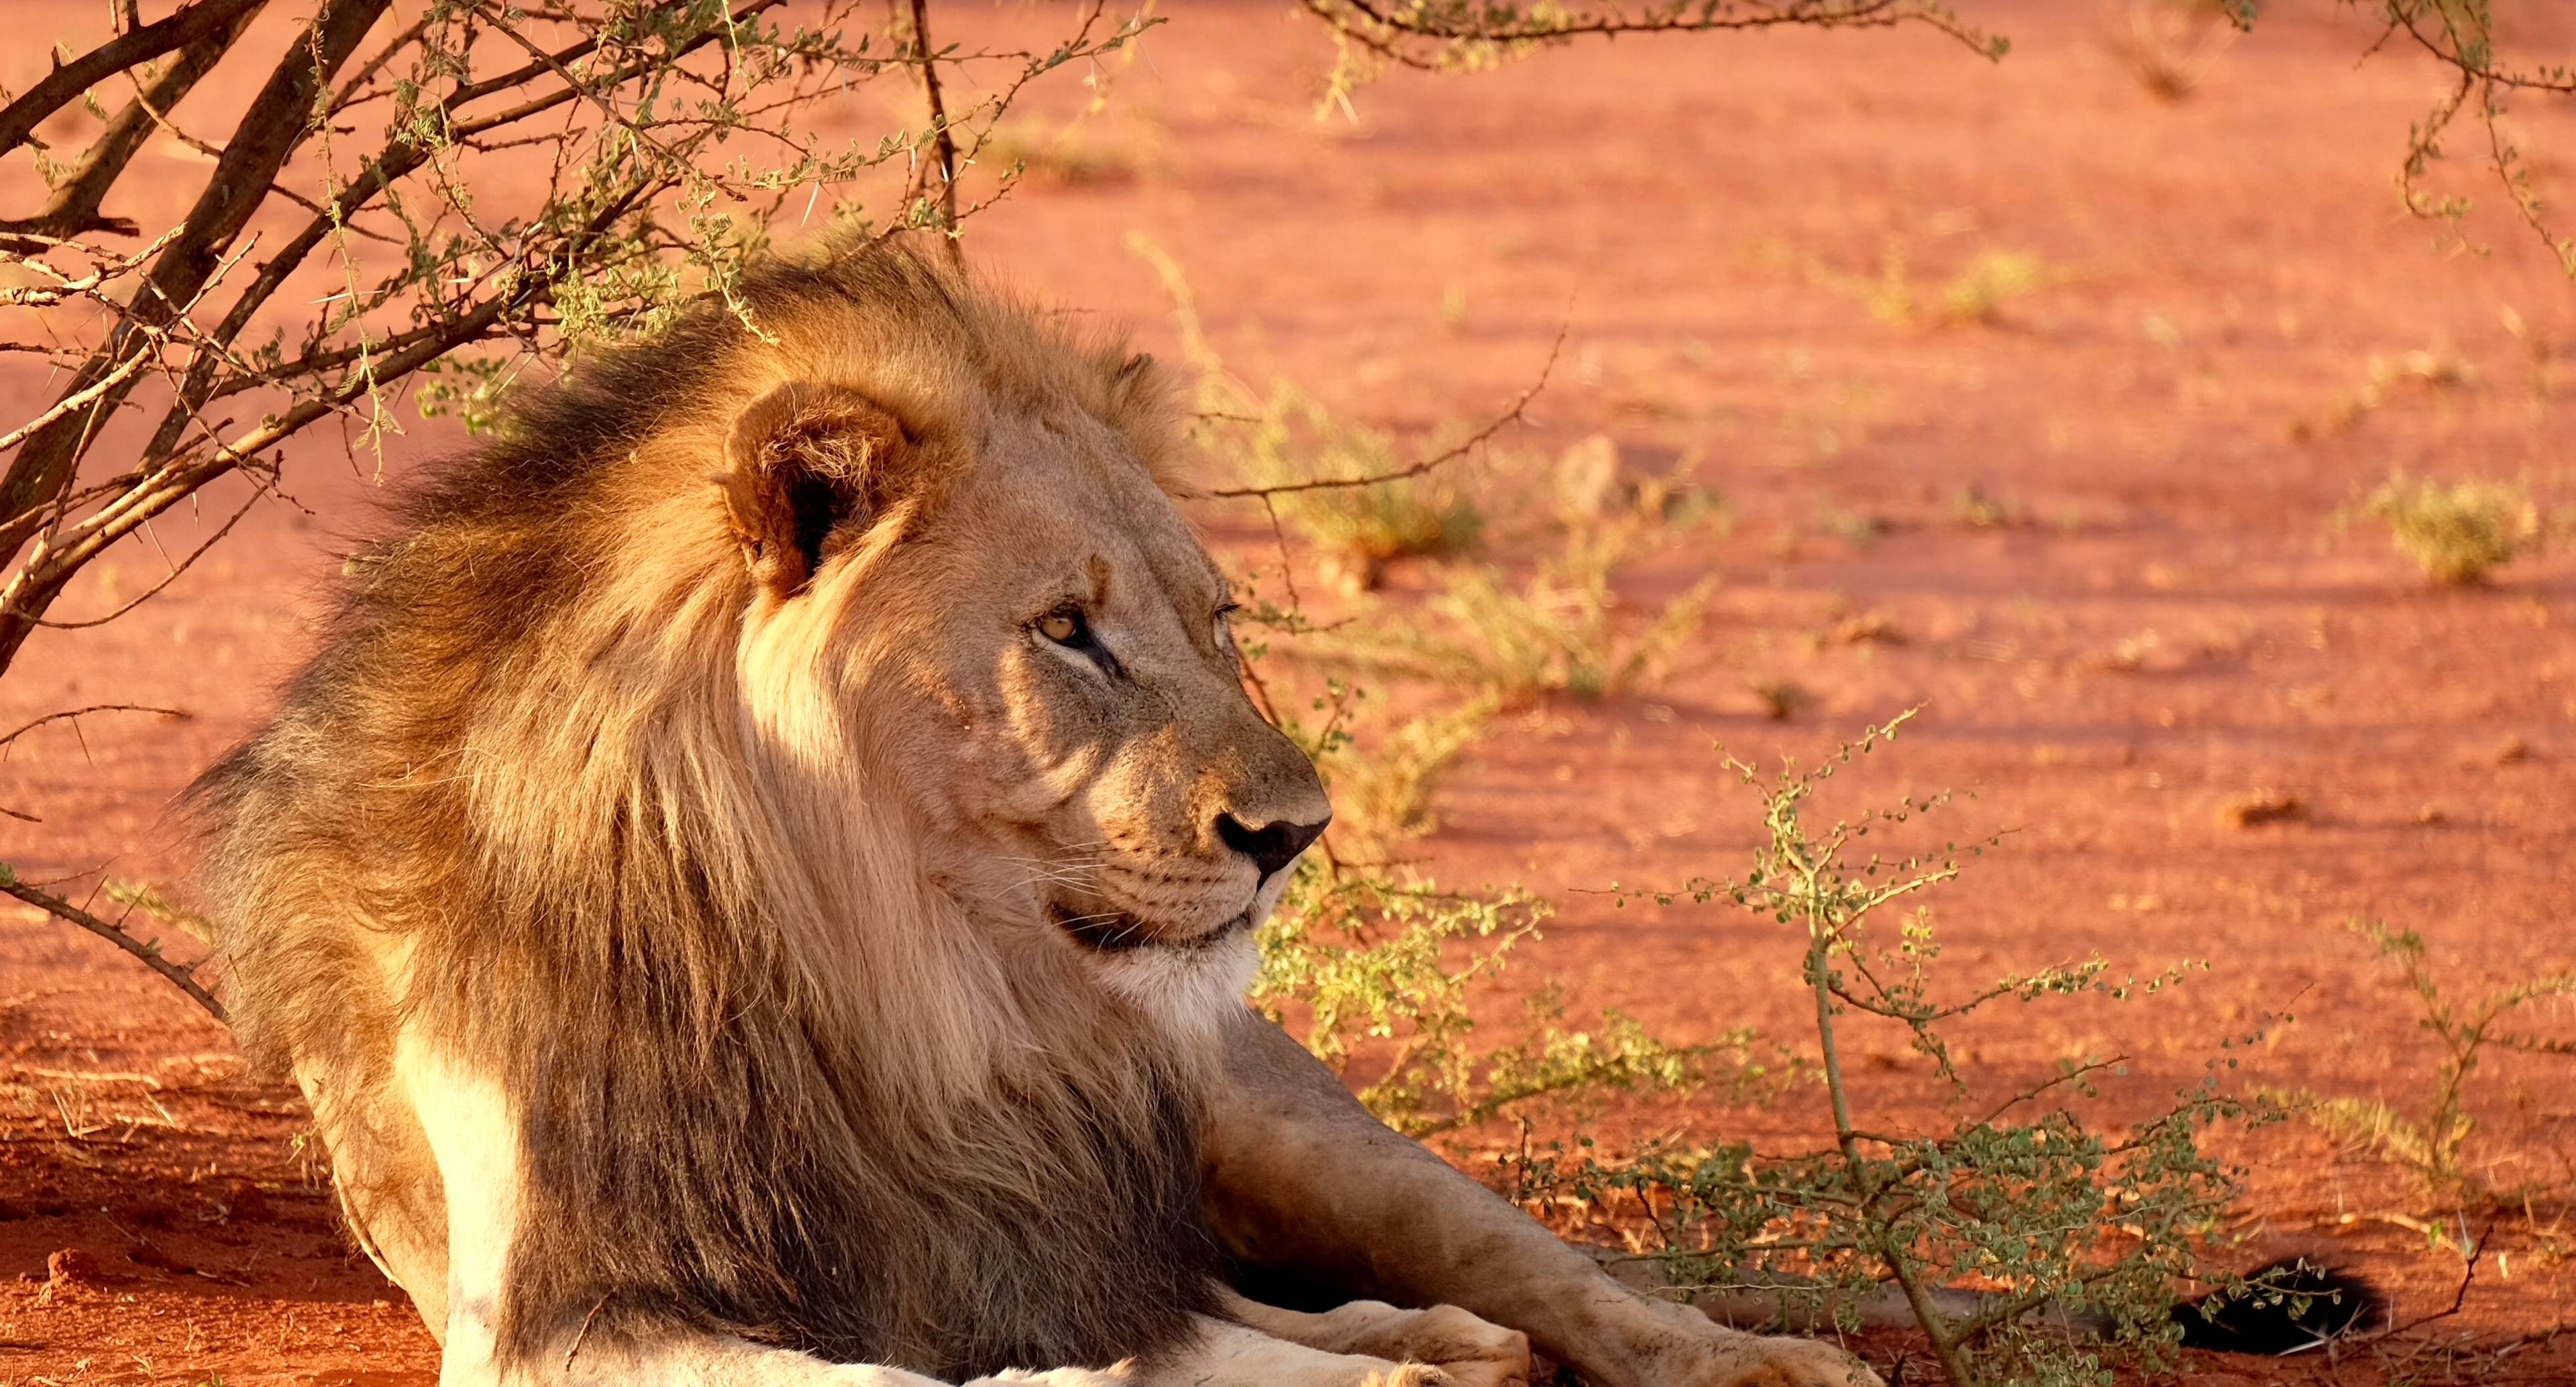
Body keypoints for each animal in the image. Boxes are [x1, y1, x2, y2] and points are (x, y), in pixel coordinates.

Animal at [181, 241, 1875, 1387]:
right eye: (1068, 631)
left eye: (1215, 620)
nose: (1297, 833)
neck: (881, 978)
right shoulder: (560, 1312)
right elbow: (1010, 1360)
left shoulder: (997, 1227)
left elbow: (1137, 1330)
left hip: (1279, 1121)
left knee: (1522, 1263)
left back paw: (1734, 1356)